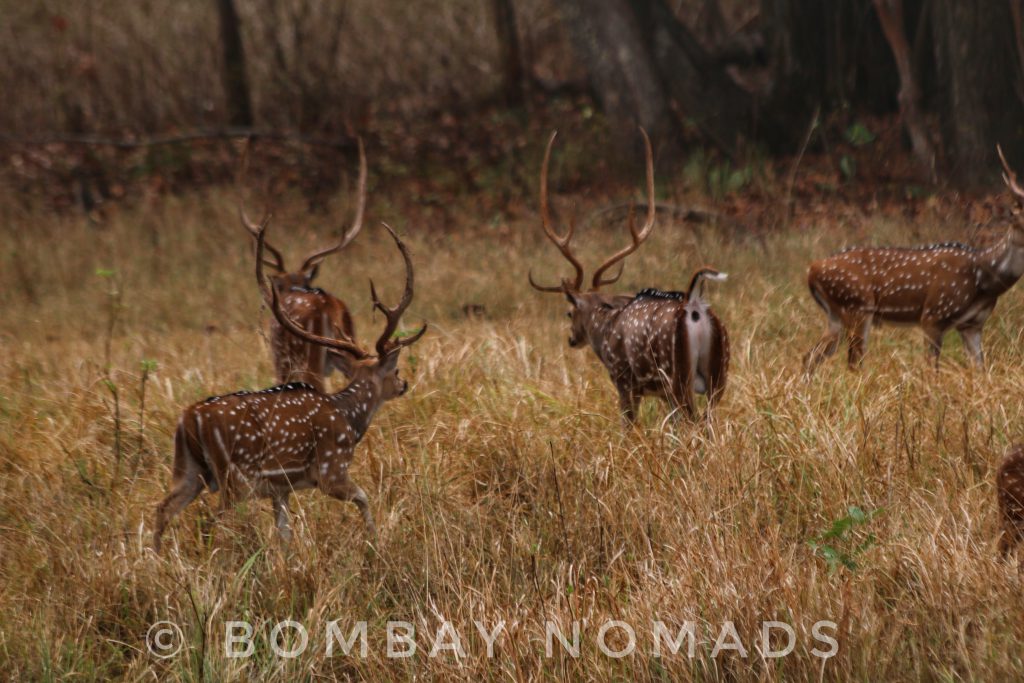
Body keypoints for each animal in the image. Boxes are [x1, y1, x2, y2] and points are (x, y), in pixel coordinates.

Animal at [151, 222, 423, 552]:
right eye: (394, 369)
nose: (403, 384)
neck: (349, 418)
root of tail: (189, 418)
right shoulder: (330, 468)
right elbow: (363, 497)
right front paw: (375, 541)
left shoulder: (280, 489)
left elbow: (285, 533)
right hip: (235, 475)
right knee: (212, 522)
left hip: (189, 468)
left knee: (163, 508)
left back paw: (156, 556)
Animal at [528, 129, 729, 423]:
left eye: (568, 312)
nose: (571, 339)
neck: (605, 329)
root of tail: (694, 305)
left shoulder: (623, 380)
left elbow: (629, 424)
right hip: (719, 371)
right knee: (710, 420)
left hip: (676, 373)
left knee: (693, 421)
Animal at [802, 146, 1024, 376]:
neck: (983, 280)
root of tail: (812, 270)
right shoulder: (933, 314)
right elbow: (931, 369)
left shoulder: (973, 325)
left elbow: (981, 369)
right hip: (857, 305)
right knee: (853, 363)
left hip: (836, 315)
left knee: (810, 356)